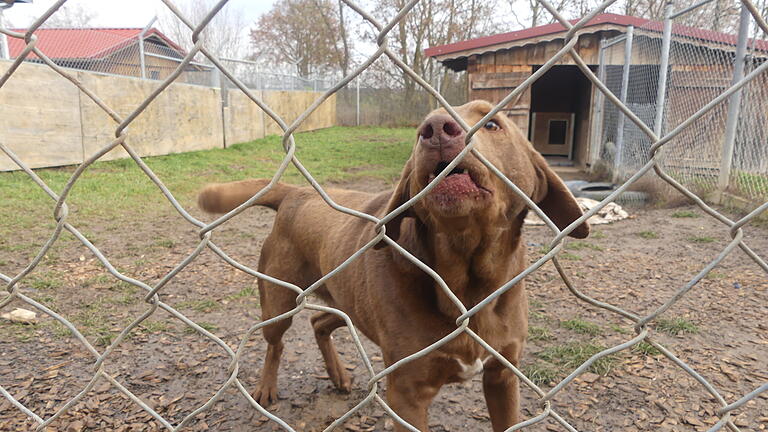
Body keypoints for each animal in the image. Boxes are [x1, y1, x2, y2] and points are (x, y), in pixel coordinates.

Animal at [200, 100, 588, 428]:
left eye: (492, 123)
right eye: (421, 129)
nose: (435, 128)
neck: (467, 285)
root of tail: (297, 192)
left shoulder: (503, 378)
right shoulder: (407, 394)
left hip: (346, 300)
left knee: (318, 322)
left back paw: (338, 374)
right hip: (278, 300)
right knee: (276, 342)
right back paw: (266, 387)